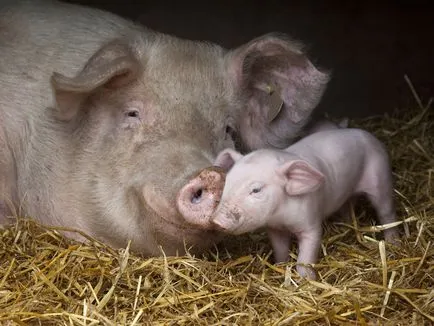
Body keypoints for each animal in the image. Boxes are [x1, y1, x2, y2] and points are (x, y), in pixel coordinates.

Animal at [212, 129, 398, 278]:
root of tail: (369, 135)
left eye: (256, 190)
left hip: (380, 178)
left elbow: (306, 256)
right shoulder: (274, 229)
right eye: (227, 182)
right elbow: (280, 250)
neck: (281, 217)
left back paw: (393, 242)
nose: (216, 221)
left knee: (387, 213)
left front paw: (305, 280)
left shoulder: (311, 223)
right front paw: (281, 266)